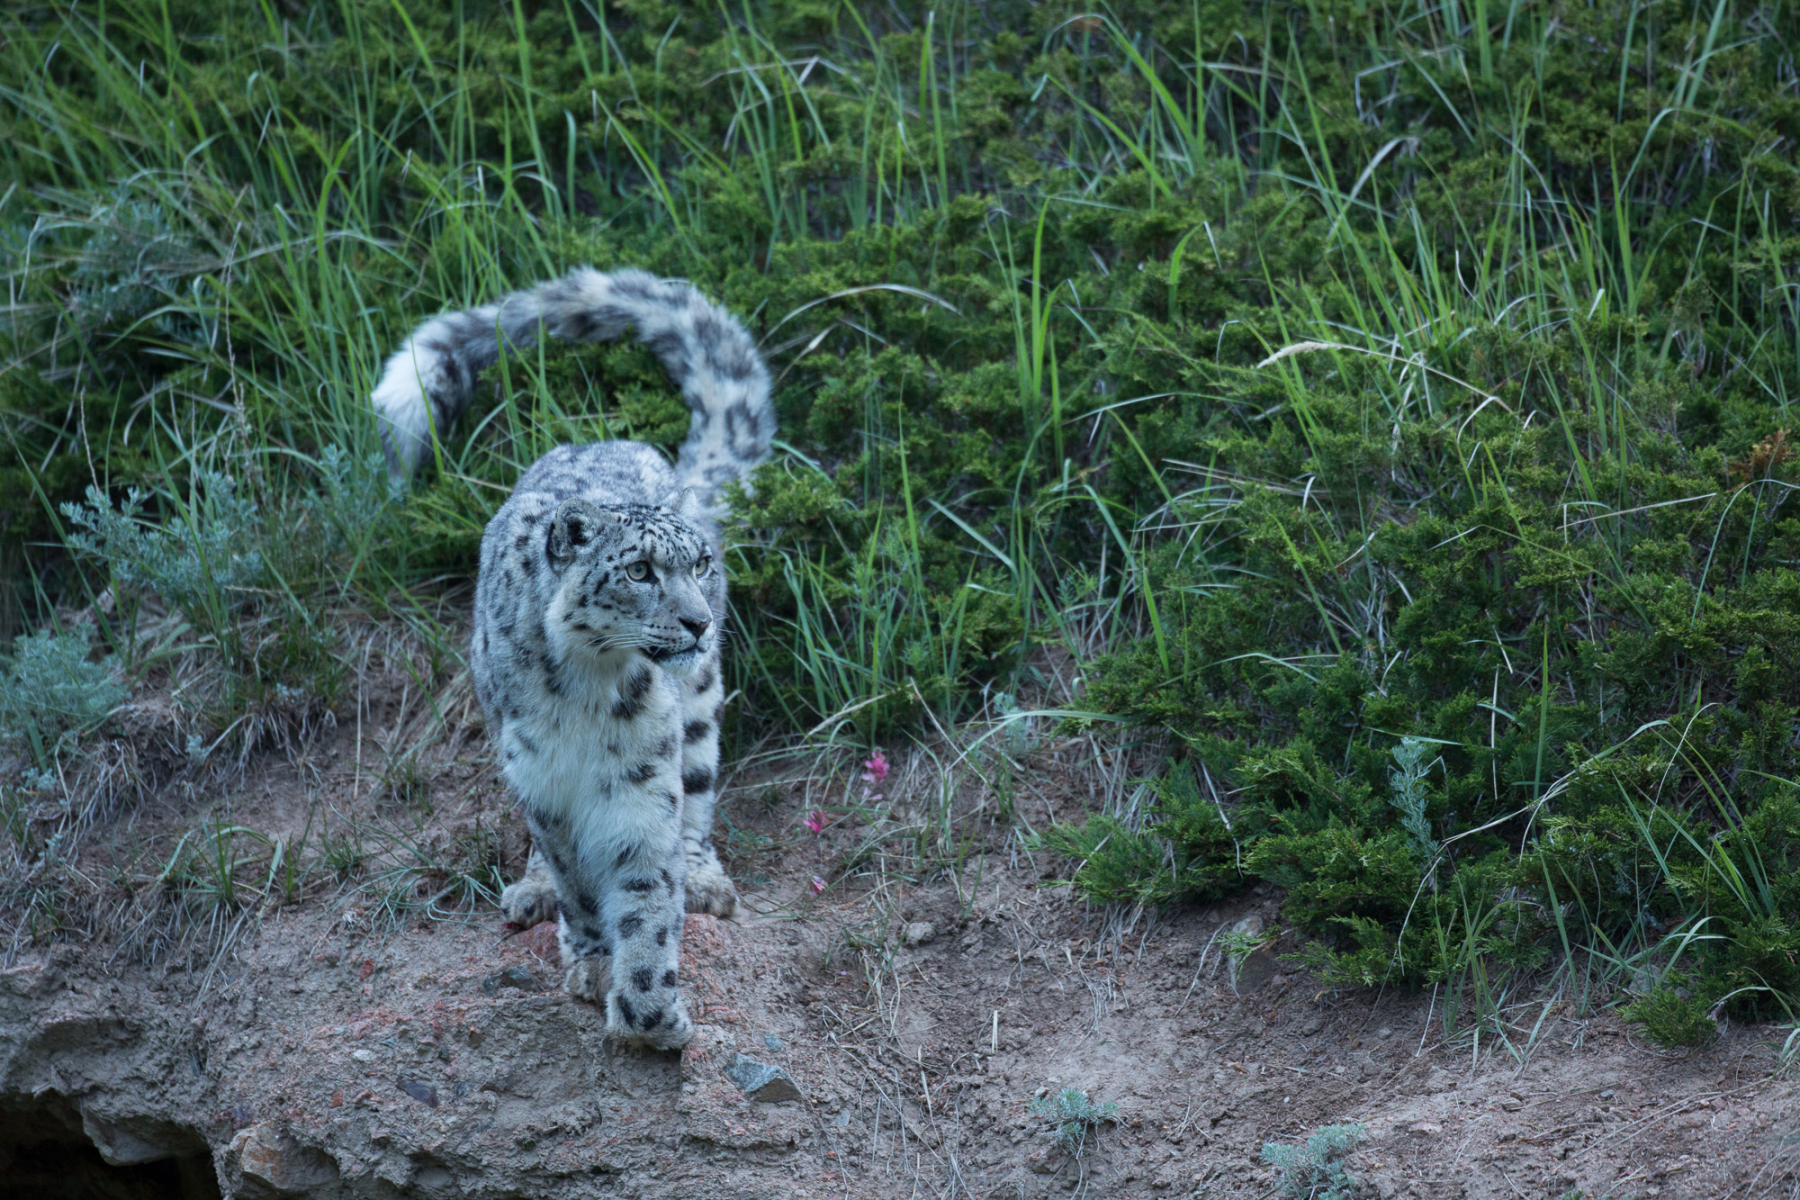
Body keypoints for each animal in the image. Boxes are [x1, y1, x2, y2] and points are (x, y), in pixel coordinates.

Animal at [372, 268, 774, 1043]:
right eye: (640, 570)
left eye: (699, 563)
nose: (699, 622)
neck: (587, 692)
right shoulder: (547, 783)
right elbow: (578, 882)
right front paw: (592, 963)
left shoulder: (642, 779)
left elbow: (647, 886)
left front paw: (648, 1007)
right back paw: (530, 891)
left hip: (701, 708)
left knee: (700, 795)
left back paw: (705, 877)